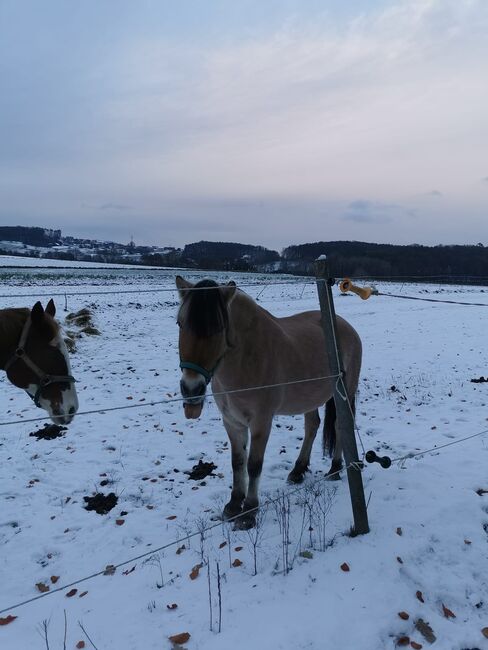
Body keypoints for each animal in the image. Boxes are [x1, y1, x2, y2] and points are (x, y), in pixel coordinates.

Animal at [175, 274, 362, 528]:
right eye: (179, 323)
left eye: (218, 328)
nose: (191, 388)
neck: (246, 358)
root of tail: (345, 326)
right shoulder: (232, 422)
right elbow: (237, 462)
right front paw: (233, 505)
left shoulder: (261, 422)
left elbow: (254, 465)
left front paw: (249, 511)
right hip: (311, 397)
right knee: (312, 426)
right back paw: (298, 470)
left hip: (345, 391)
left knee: (340, 425)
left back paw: (334, 469)